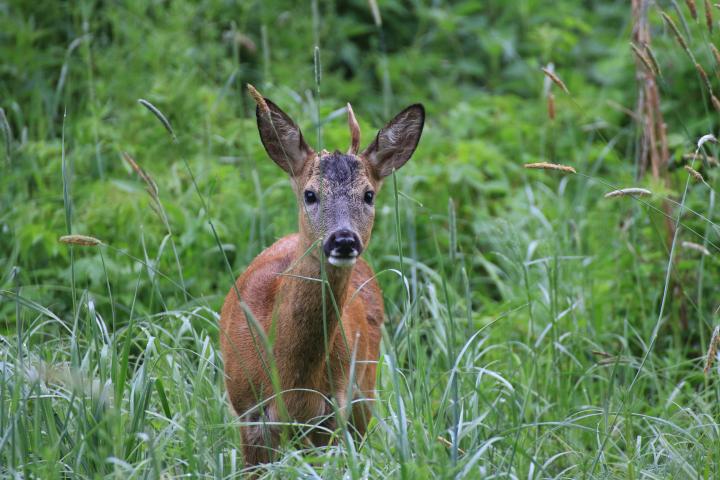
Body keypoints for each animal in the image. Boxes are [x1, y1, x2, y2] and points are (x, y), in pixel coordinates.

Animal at [218, 86, 422, 464]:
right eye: (310, 194)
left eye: (368, 195)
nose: (343, 239)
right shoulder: (248, 413)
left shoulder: (330, 416)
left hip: (364, 389)